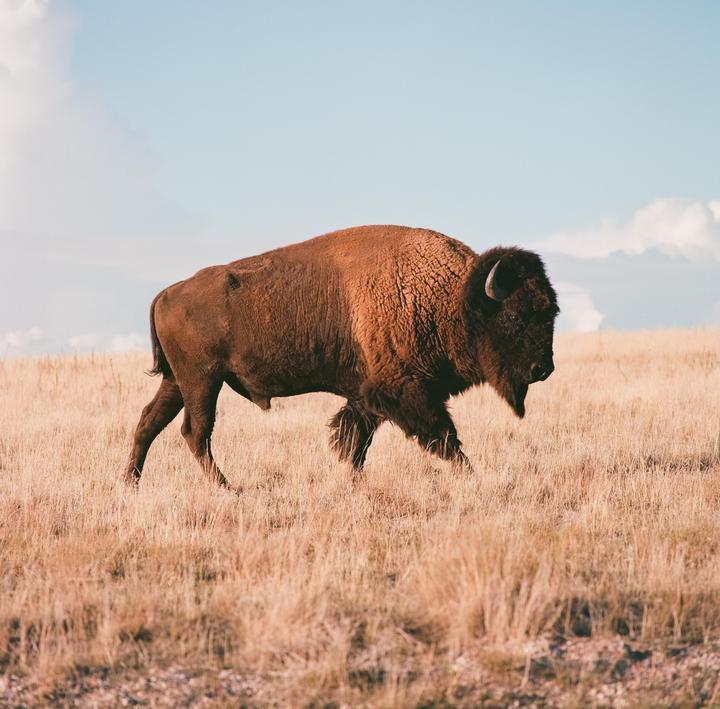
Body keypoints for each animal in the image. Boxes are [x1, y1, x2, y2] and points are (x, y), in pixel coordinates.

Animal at [125, 225, 558, 486]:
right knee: (195, 431)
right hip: (202, 380)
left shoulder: (368, 393)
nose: (543, 368)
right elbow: (443, 436)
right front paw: (472, 477)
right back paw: (228, 488)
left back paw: (131, 482)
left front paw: (354, 481)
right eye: (516, 316)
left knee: (149, 422)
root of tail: (168, 292)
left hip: (178, 381)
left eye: (551, 311)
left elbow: (353, 440)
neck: (452, 298)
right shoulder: (404, 391)